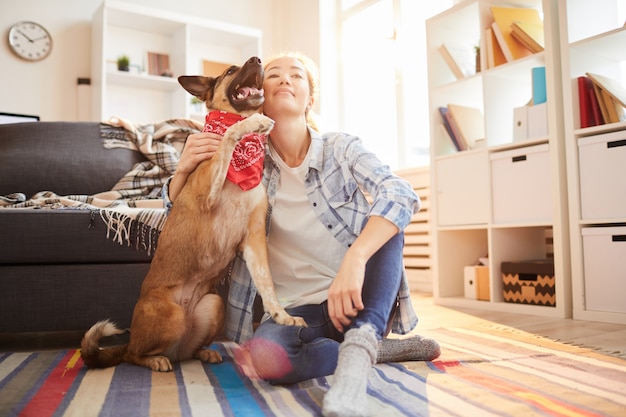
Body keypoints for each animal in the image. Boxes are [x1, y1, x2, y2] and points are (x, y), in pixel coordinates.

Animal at [81, 55, 306, 370]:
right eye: (230, 71)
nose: (258, 59)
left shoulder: (254, 239)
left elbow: (267, 284)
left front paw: (282, 317)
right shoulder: (208, 196)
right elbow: (228, 137)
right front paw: (253, 122)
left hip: (213, 304)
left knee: (186, 350)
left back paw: (203, 352)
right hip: (171, 316)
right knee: (133, 354)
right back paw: (155, 360)